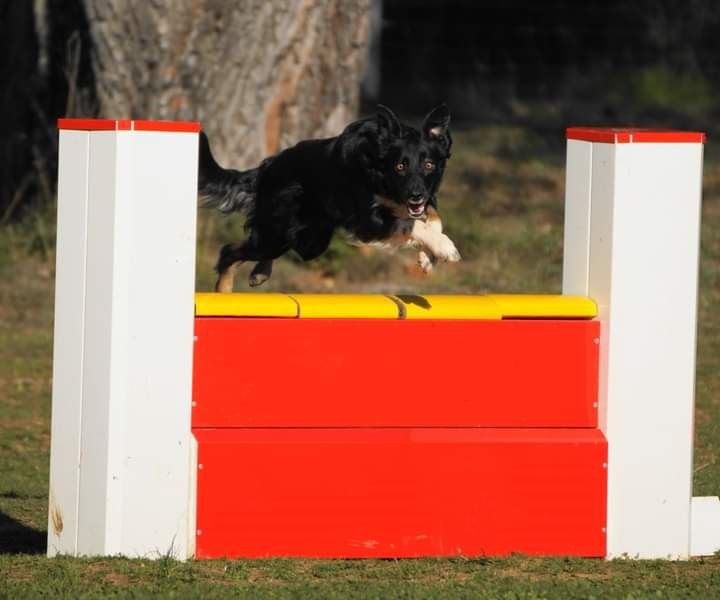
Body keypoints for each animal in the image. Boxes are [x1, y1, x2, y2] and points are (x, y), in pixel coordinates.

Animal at [198, 103, 462, 290]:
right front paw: (444, 247)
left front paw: (428, 255)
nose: (416, 195)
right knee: (229, 252)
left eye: (428, 165)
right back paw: (223, 292)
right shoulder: (368, 220)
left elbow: (432, 218)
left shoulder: (418, 199)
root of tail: (267, 167)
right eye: (400, 166)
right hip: (277, 234)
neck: (376, 166)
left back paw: (259, 272)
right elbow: (411, 224)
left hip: (309, 240)